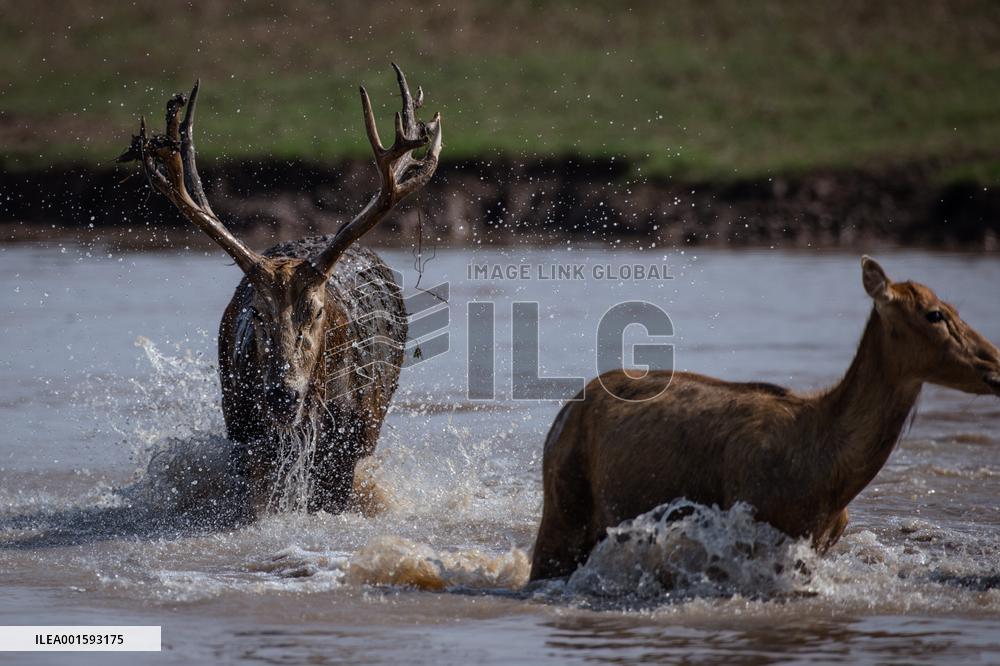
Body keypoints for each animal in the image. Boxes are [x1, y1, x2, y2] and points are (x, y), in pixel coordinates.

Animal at [530, 257, 1000, 581]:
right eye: (935, 314)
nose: (994, 363)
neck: (831, 478)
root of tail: (564, 412)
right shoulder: (751, 533)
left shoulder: (816, 546)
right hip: (563, 509)